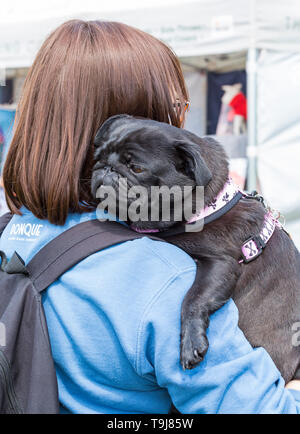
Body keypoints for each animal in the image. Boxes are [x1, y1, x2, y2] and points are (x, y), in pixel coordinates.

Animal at [91, 113, 300, 382]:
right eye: (99, 156)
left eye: (136, 167)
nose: (107, 168)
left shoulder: (221, 264)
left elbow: (193, 299)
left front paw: (191, 343)